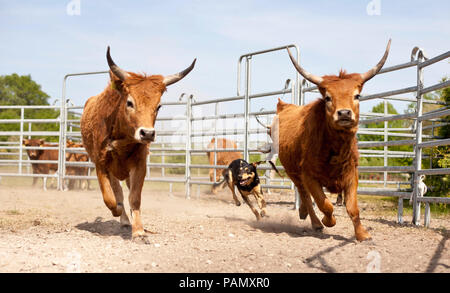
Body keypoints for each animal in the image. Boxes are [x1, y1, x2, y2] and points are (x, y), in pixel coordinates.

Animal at [80, 46, 195, 242]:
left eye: (158, 106)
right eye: (129, 102)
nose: (147, 133)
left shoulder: (140, 164)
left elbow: (134, 197)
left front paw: (139, 231)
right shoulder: (101, 164)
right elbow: (110, 197)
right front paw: (119, 212)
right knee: (116, 191)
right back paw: (123, 217)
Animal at [278, 39, 390, 240]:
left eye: (357, 95)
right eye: (328, 97)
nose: (344, 113)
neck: (335, 149)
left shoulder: (352, 174)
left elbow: (353, 208)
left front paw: (362, 234)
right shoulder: (309, 176)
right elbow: (325, 204)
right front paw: (328, 221)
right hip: (293, 173)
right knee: (305, 196)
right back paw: (314, 221)